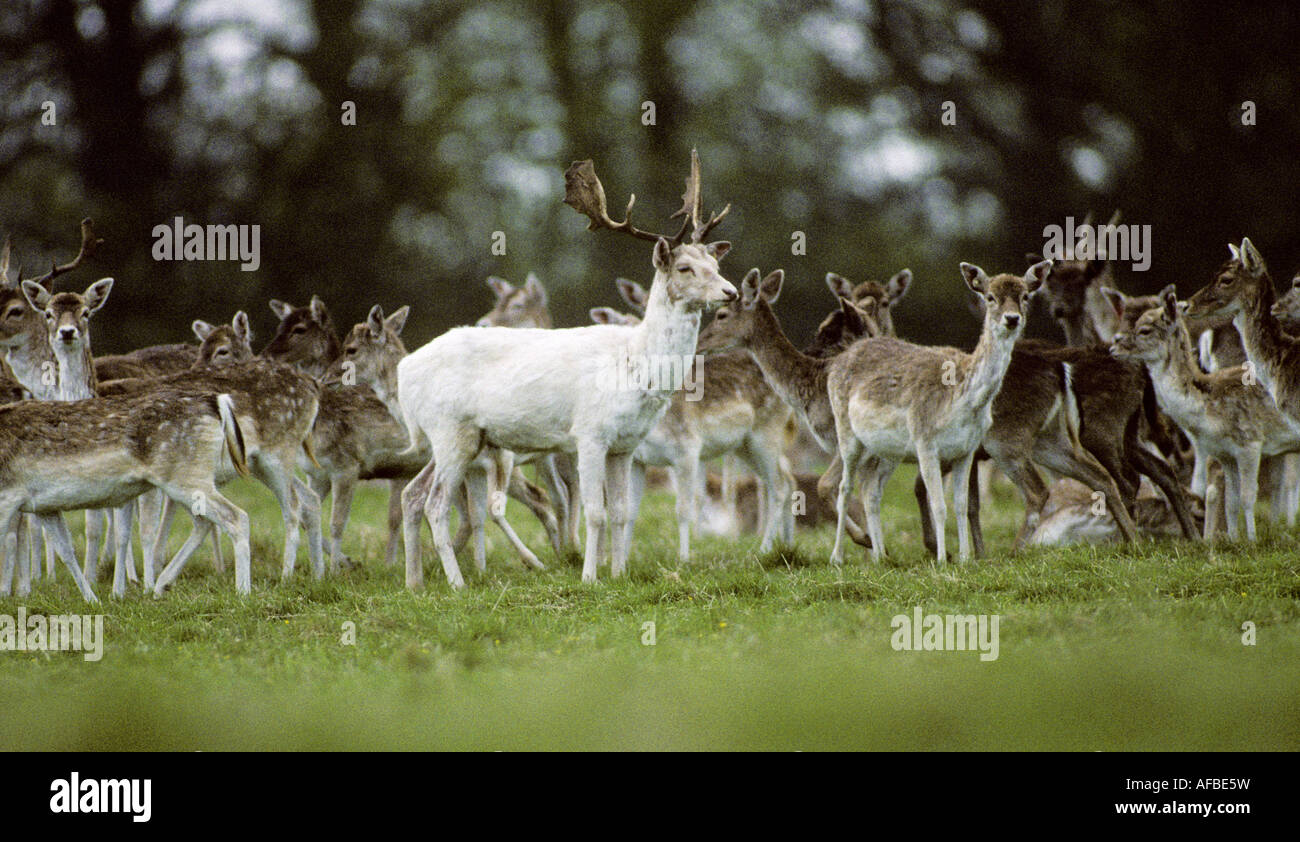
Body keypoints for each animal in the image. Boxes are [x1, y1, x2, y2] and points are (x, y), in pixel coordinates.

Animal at [395, 151, 738, 584]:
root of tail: (404, 370)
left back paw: (414, 583)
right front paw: (590, 577)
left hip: (456, 439)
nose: (731, 291)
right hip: (450, 431)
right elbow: (595, 513)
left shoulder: (625, 445)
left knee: (411, 495)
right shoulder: (589, 433)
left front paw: (619, 573)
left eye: (714, 261)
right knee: (435, 504)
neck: (635, 366)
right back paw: (457, 584)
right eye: (685, 268)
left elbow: (621, 513)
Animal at [1107, 287, 1300, 540]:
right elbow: (1235, 498)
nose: (1113, 347)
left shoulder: (1251, 442)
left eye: (1144, 329)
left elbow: (1250, 494)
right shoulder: (1231, 450)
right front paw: (1238, 540)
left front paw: (1253, 539)